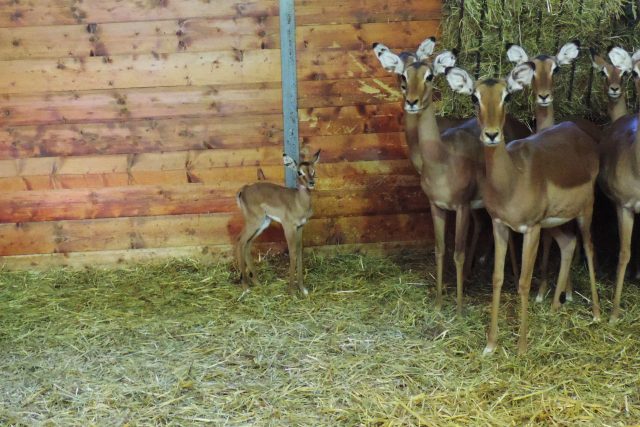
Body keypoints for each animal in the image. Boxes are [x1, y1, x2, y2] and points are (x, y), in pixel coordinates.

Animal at [235, 151, 320, 298]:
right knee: (241, 241)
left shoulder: (300, 227)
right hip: (254, 222)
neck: (298, 201)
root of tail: (244, 190)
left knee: (247, 243)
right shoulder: (288, 227)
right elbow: (292, 252)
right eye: (299, 172)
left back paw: (257, 282)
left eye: (313, 170)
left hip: (262, 224)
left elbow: (299, 252)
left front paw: (303, 289)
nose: (311, 183)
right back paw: (246, 288)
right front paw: (292, 292)